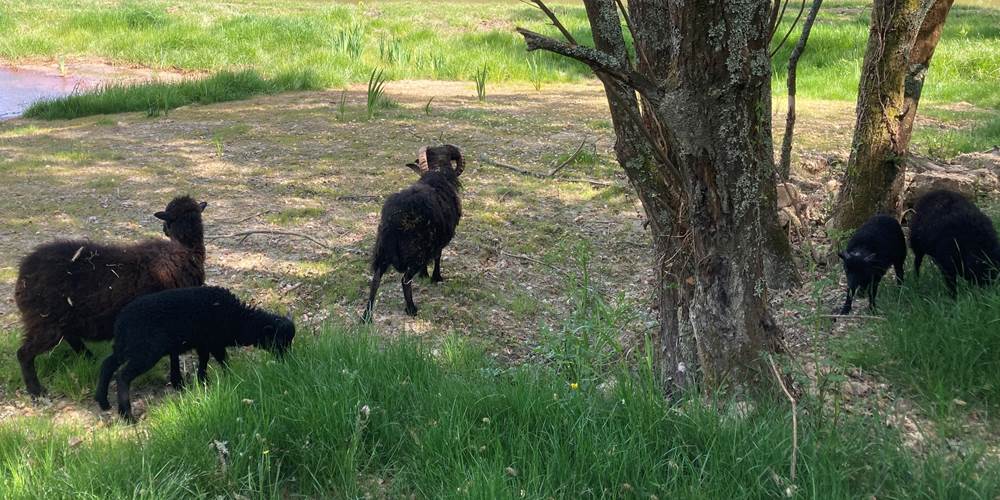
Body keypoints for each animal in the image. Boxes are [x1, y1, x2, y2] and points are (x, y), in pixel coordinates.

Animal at [14, 196, 207, 396]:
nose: (163, 229)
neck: (187, 250)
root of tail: (22, 276)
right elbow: (174, 354)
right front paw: (178, 382)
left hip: (62, 320)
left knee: (69, 337)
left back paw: (88, 357)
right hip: (45, 323)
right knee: (24, 353)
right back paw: (36, 390)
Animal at [95, 286, 295, 422]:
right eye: (280, 342)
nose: (288, 362)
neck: (239, 320)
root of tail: (120, 323)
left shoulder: (204, 343)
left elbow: (204, 361)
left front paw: (203, 381)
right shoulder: (214, 342)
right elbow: (223, 361)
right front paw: (232, 378)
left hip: (127, 347)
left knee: (107, 364)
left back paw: (103, 402)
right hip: (145, 351)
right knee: (122, 375)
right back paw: (127, 415)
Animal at [362, 144, 465, 322]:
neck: (438, 173)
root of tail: (394, 219)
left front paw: (424, 275)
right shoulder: (438, 242)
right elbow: (437, 257)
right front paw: (436, 277)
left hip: (382, 249)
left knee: (375, 279)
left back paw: (366, 315)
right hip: (415, 252)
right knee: (405, 280)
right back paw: (411, 308)